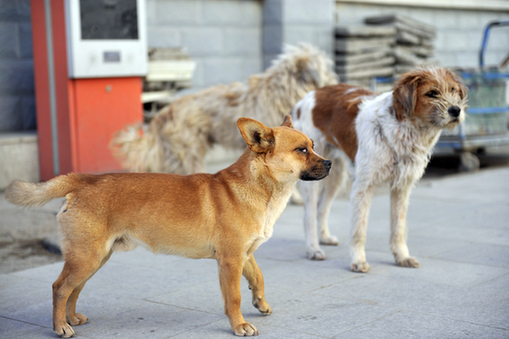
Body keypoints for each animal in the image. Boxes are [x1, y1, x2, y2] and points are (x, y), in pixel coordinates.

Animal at [5, 116, 332, 338]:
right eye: (302, 150)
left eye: (314, 146)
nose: (330, 163)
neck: (262, 188)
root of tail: (84, 180)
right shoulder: (230, 261)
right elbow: (234, 297)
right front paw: (239, 324)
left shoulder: (245, 256)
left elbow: (259, 279)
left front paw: (260, 303)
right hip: (87, 257)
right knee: (60, 287)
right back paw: (60, 326)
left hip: (93, 259)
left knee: (73, 289)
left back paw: (71, 318)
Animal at [292, 67, 466, 274]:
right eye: (432, 93)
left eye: (453, 90)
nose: (456, 110)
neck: (402, 129)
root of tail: (310, 95)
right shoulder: (363, 186)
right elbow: (359, 229)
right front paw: (358, 260)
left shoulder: (402, 187)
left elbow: (399, 227)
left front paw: (402, 257)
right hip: (313, 179)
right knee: (308, 215)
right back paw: (313, 249)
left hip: (335, 174)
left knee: (322, 208)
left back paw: (324, 237)